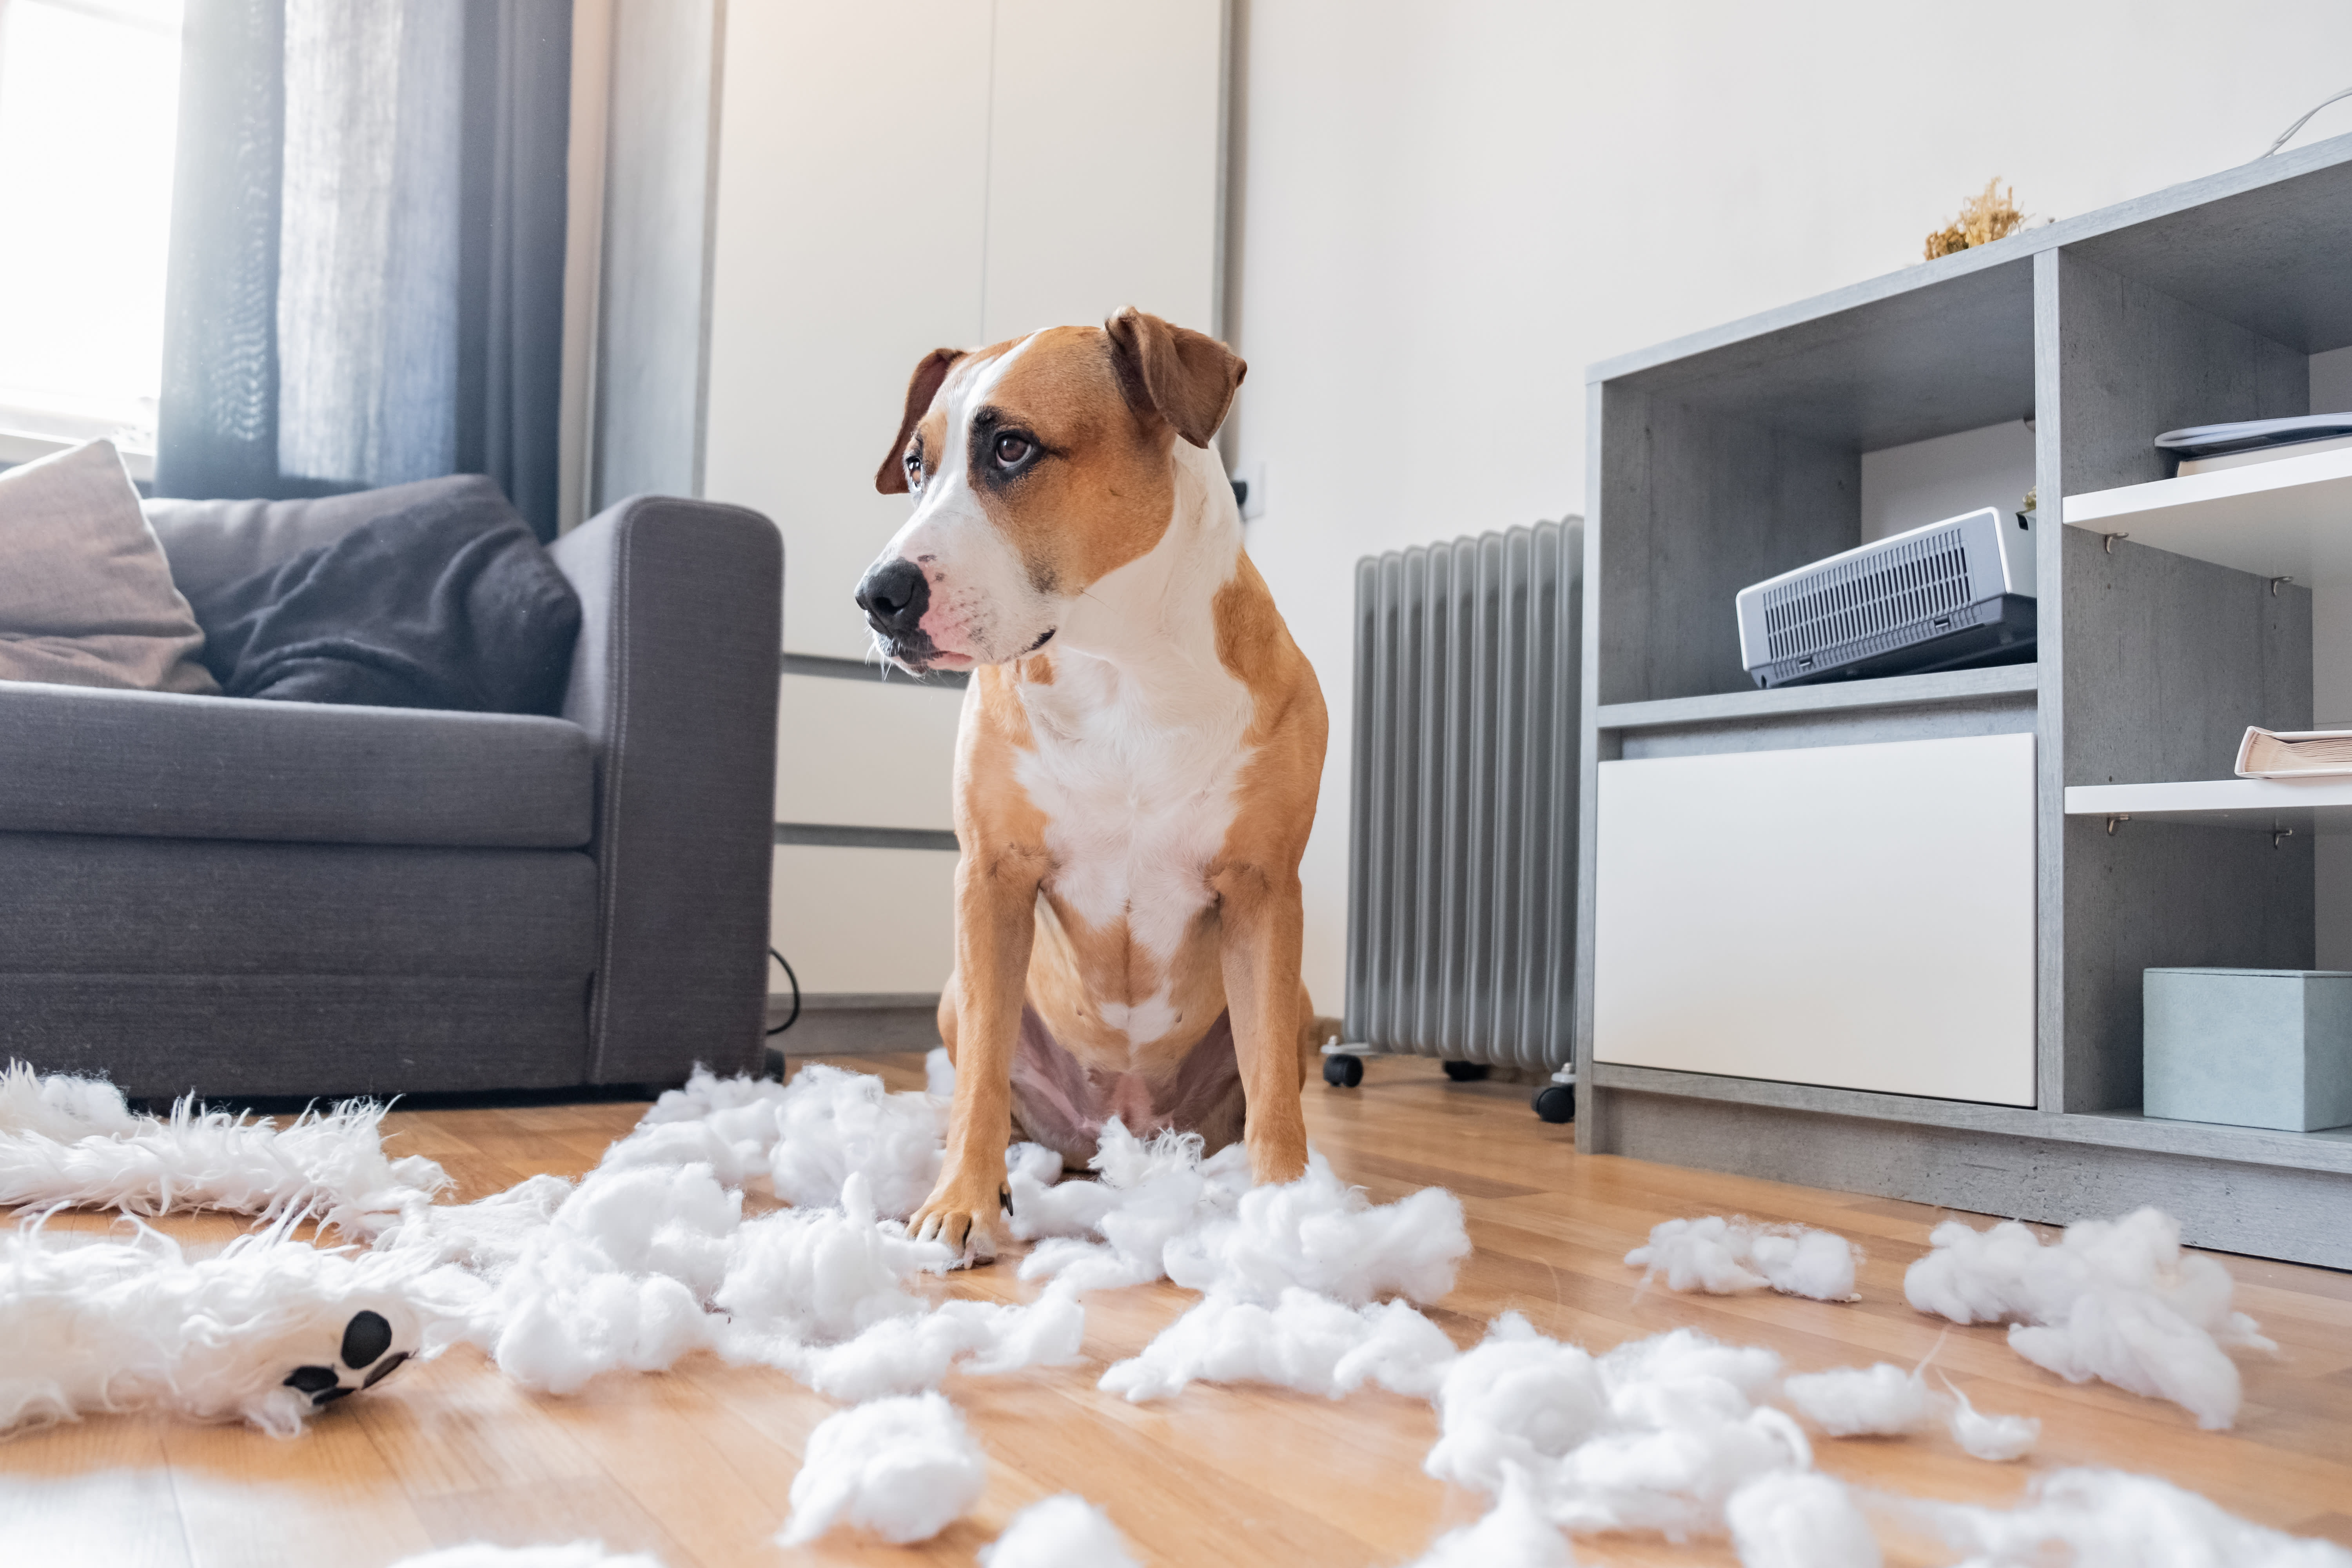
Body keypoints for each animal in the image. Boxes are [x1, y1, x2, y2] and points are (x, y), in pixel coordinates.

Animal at [861, 310, 1345, 1260]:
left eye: (1012, 447)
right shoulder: (992, 879)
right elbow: (980, 1076)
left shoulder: (1265, 891)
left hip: (1301, 998)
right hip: (956, 993)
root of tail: (1118, 1129)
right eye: (916, 464)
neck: (1120, 668)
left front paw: (1283, 1214)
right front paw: (961, 1202)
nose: (878, 595)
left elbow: (1274, 1076)